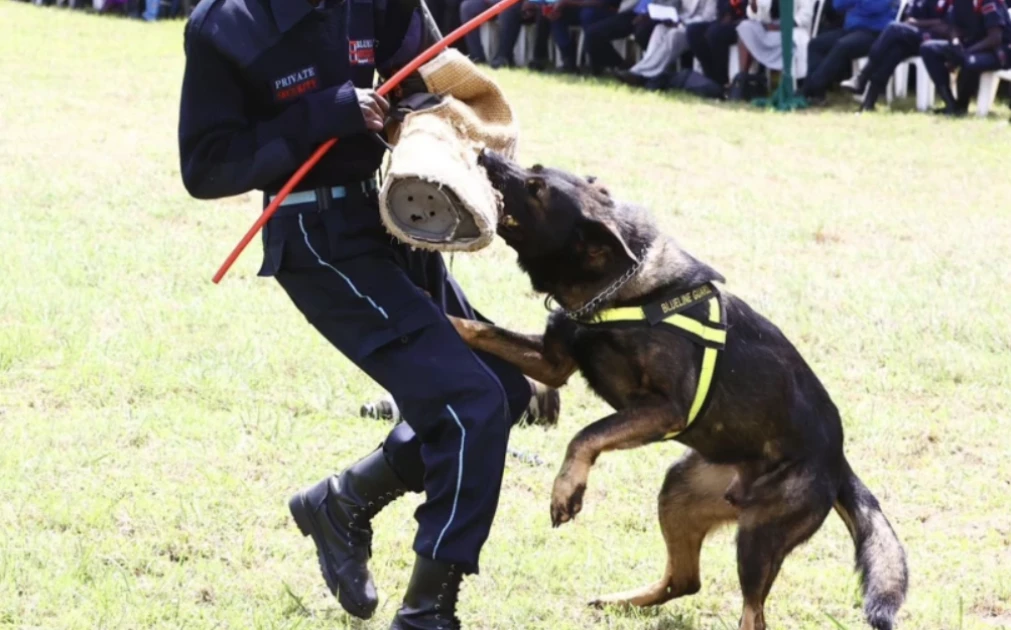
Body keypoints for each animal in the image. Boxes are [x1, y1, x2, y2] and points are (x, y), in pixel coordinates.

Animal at [448, 151, 909, 630]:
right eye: (533, 168)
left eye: (536, 188)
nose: (485, 155)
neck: (614, 286)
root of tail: (838, 463)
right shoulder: (552, 363)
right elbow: (476, 329)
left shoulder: (666, 408)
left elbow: (585, 435)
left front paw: (567, 488)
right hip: (681, 492)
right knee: (685, 581)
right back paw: (620, 602)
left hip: (758, 537)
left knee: (752, 613)